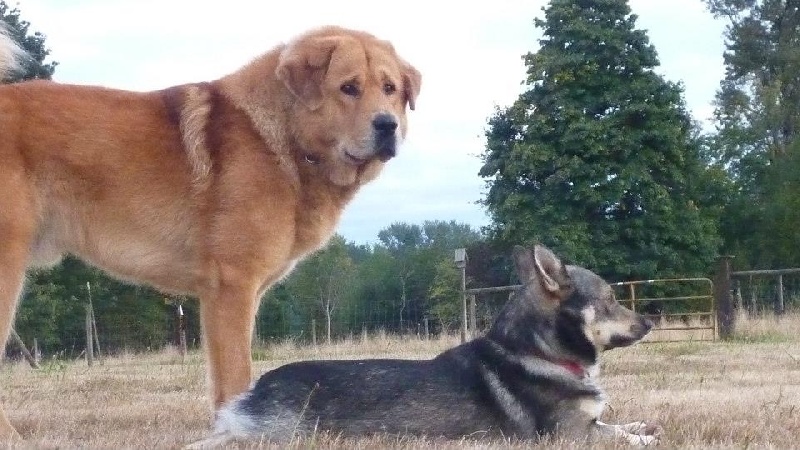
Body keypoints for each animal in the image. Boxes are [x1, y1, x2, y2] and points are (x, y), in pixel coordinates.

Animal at [0, 24, 422, 440]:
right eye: (349, 87)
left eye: (390, 89)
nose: (388, 125)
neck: (282, 137)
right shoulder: (232, 287)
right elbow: (236, 374)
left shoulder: (237, 296)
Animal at [189, 244, 664, 448]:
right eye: (610, 299)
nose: (651, 321)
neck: (539, 354)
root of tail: (254, 391)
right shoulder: (568, 436)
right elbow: (618, 437)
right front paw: (644, 438)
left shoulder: (589, 424)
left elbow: (618, 423)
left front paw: (644, 425)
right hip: (284, 435)